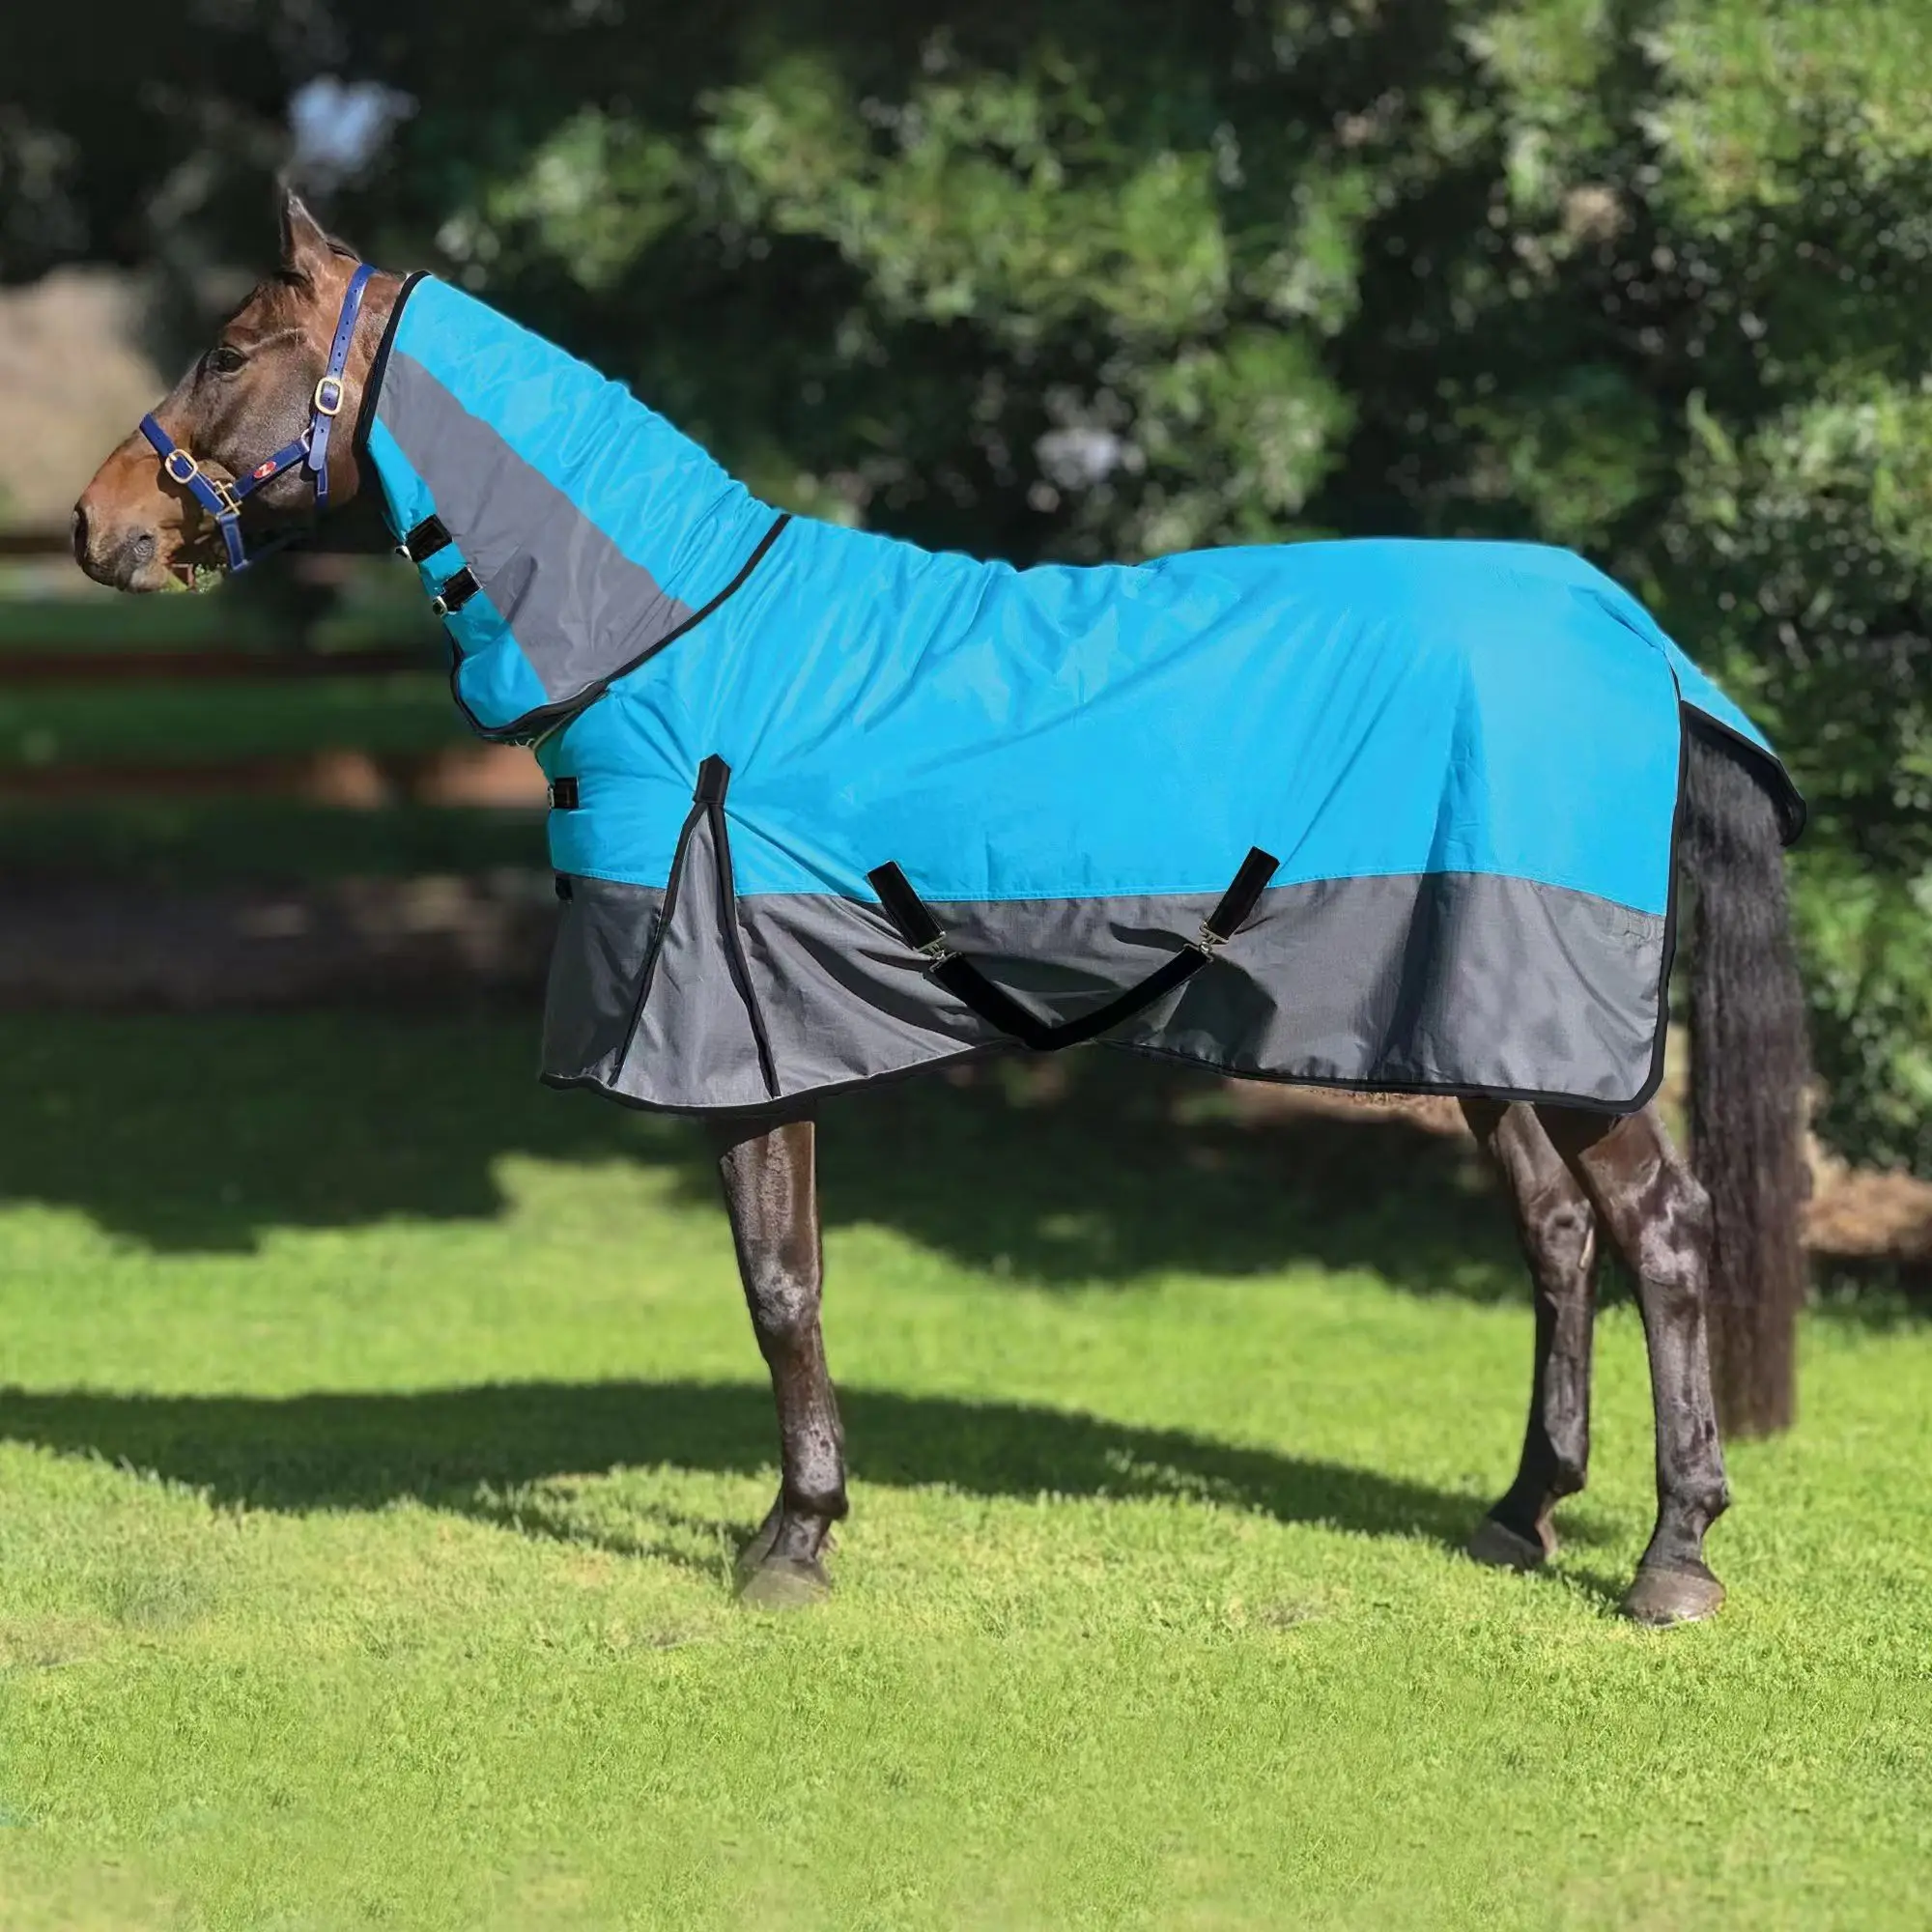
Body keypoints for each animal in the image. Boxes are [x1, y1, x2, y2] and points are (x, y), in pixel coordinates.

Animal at [73, 189, 1808, 1627]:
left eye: (230, 348)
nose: (99, 527)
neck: (674, 638)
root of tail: (1628, 628)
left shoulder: (736, 1045)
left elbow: (778, 1288)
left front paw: (791, 1541)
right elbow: (793, 1281)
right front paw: (805, 1522)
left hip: (1552, 1037)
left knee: (1660, 1233)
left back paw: (1673, 1558)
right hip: (1477, 1027)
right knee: (1557, 1239)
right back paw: (1522, 1513)